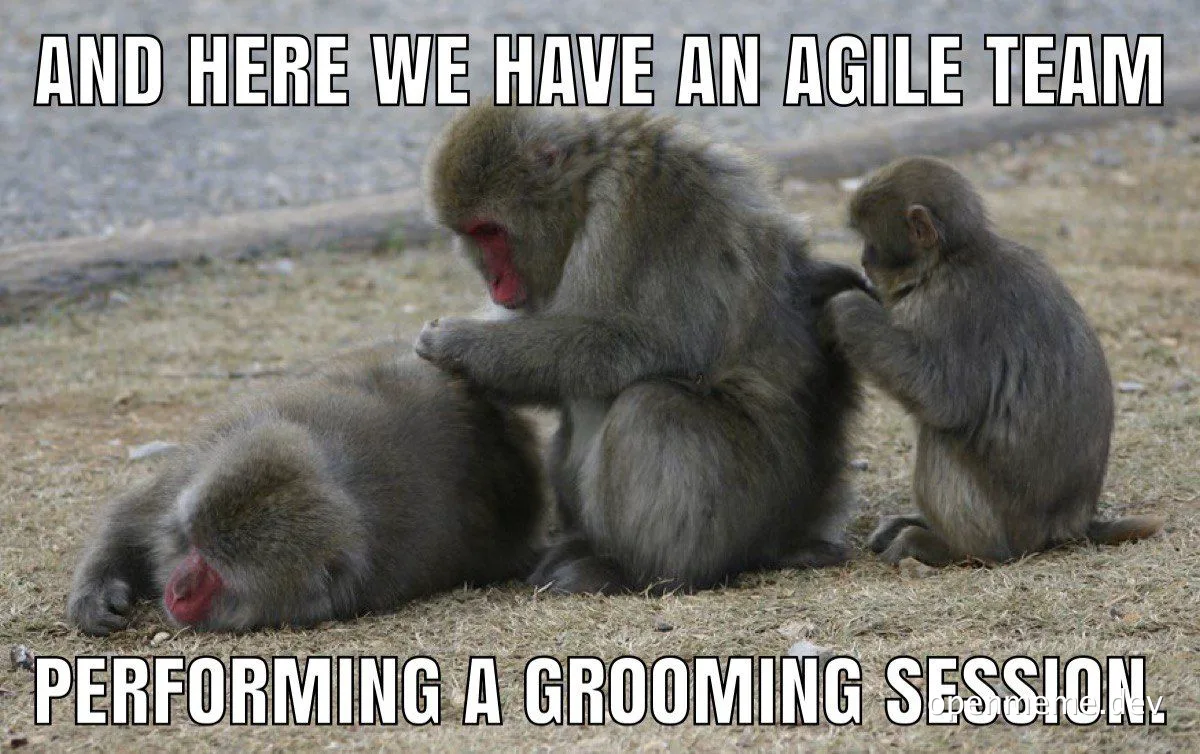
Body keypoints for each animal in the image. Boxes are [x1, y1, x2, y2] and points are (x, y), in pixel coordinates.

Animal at [66, 348, 543, 635]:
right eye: (190, 543)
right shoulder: (201, 460)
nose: (178, 589)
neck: (342, 486)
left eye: (214, 571)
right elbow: (130, 515)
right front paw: (96, 594)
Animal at [414, 102, 866, 593]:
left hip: (750, 503)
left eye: (491, 231)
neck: (585, 190)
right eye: (473, 235)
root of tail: (802, 522)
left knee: (649, 406)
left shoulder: (640, 210)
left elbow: (633, 342)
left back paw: (633, 570)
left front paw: (455, 343)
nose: (494, 282)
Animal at [824, 155, 1164, 566]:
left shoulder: (947, 305)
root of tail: (1070, 523)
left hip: (1004, 524)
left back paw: (946, 546)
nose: (863, 259)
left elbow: (944, 399)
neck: (952, 257)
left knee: (942, 433)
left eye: (871, 240)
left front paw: (849, 307)